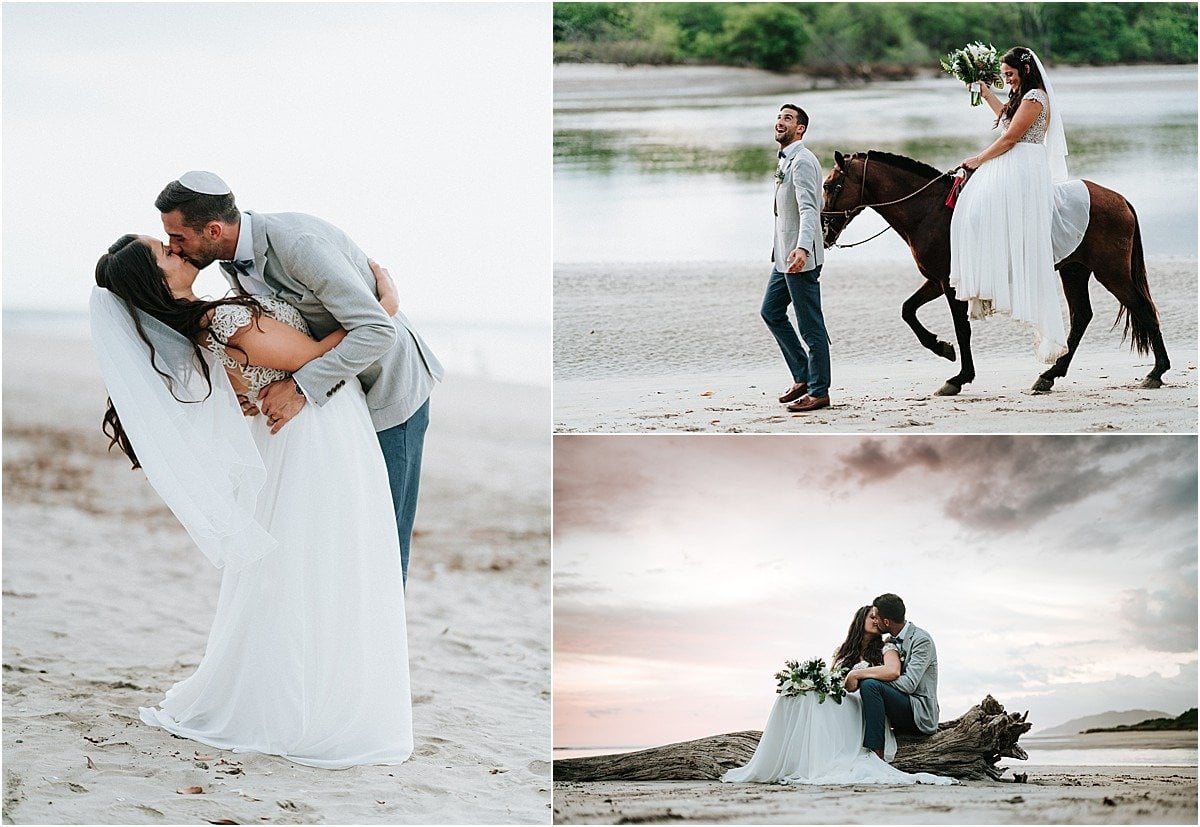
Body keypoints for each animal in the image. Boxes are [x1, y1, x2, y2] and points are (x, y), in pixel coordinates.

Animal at [820, 150, 1166, 396]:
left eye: (828, 185)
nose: (824, 229)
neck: (930, 211)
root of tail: (1119, 199)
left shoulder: (949, 284)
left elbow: (962, 329)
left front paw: (958, 377)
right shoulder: (937, 280)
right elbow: (908, 310)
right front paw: (941, 348)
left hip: (1111, 272)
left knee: (1143, 308)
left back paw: (1156, 372)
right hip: (1075, 271)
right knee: (1082, 316)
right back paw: (1049, 376)